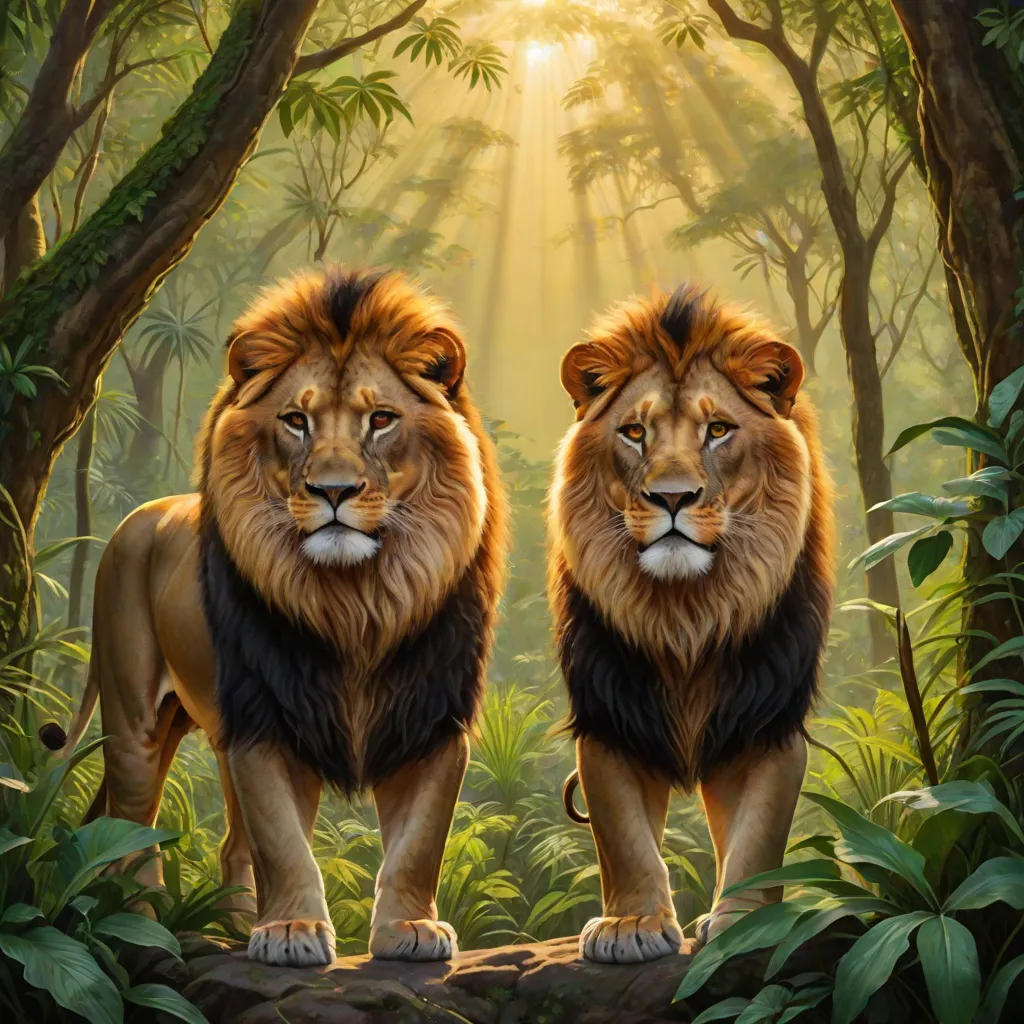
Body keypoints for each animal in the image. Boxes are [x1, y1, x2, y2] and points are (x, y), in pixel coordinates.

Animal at [45, 267, 507, 967]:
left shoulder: (433, 714)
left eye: (381, 420)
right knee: (129, 829)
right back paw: (149, 929)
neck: (356, 600)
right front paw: (291, 932)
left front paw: (410, 929)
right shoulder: (265, 715)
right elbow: (283, 840)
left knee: (224, 842)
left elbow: (420, 841)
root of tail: (133, 520)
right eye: (295, 420)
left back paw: (232, 928)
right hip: (135, 719)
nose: (334, 491)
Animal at [549, 285, 834, 963]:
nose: (673, 497)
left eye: (719, 430)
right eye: (634, 432)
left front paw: (747, 923)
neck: (686, 617)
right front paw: (631, 926)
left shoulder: (768, 713)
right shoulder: (608, 710)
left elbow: (759, 837)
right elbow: (621, 834)